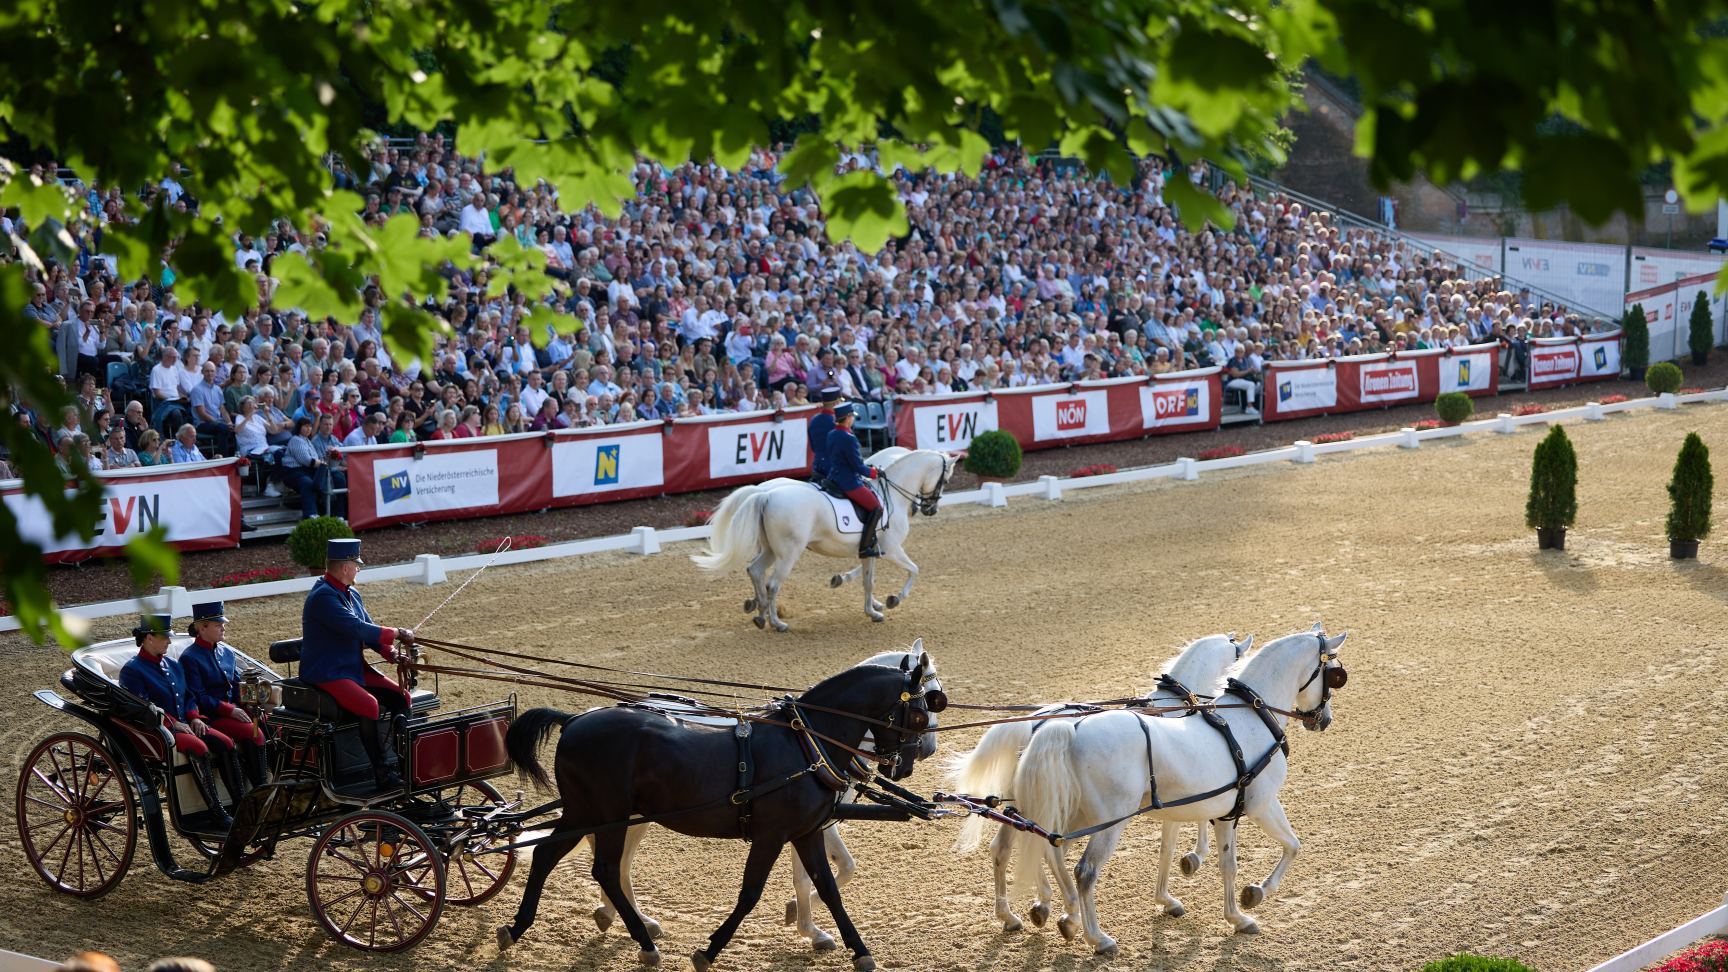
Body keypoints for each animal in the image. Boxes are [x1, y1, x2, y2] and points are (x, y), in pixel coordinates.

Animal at [497, 646, 946, 961]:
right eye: (923, 709)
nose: (911, 759)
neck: (806, 741)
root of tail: (574, 719)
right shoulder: (772, 835)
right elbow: (752, 892)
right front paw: (710, 950)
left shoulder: (805, 831)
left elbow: (829, 886)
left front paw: (856, 949)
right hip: (608, 814)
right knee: (605, 868)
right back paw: (643, 941)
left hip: (588, 812)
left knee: (550, 856)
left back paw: (520, 927)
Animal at [691, 446, 960, 629]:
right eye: (945, 480)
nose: (930, 509)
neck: (891, 495)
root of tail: (765, 494)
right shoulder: (892, 549)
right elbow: (914, 570)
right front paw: (893, 599)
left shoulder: (870, 550)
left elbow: (868, 581)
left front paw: (872, 610)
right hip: (789, 553)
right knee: (773, 584)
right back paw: (777, 622)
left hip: (770, 549)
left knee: (755, 570)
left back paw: (759, 612)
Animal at [946, 633, 1257, 927]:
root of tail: (1032, 726)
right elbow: (1171, 843)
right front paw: (1188, 867)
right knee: (1044, 849)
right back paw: (1061, 908)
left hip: (1030, 804)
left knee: (1007, 848)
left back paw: (1020, 912)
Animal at [1009, 622, 1347, 947]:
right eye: (1335, 673)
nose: (1324, 720)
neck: (1250, 717)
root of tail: (1071, 728)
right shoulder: (1262, 804)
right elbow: (1292, 845)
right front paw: (1254, 895)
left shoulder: (1222, 813)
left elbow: (1221, 862)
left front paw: (1232, 914)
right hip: (1107, 823)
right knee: (1085, 871)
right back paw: (1097, 937)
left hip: (1074, 816)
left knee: (1051, 851)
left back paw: (1065, 917)